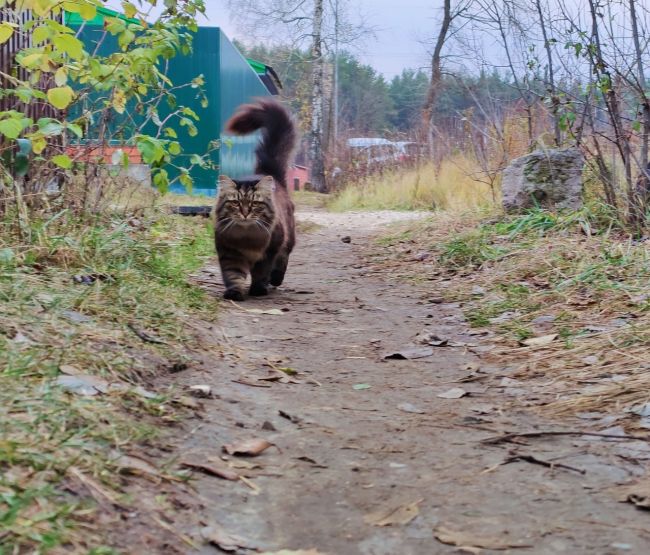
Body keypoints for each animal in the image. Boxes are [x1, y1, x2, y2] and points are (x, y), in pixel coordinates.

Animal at [213, 97, 296, 302]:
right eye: (235, 203)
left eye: (254, 204)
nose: (245, 213)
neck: (247, 236)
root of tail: (267, 171)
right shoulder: (229, 253)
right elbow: (233, 275)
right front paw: (234, 292)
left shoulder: (269, 252)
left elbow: (261, 272)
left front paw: (258, 289)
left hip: (288, 237)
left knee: (283, 259)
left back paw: (275, 280)